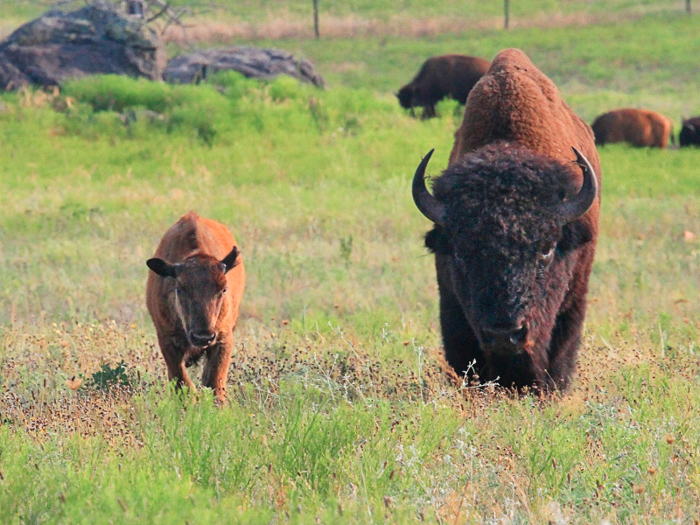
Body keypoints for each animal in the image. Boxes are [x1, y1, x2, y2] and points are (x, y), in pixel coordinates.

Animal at [146, 211, 245, 400]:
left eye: (223, 289)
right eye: (179, 289)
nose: (202, 337)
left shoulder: (223, 339)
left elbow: (214, 382)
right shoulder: (167, 340)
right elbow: (182, 382)